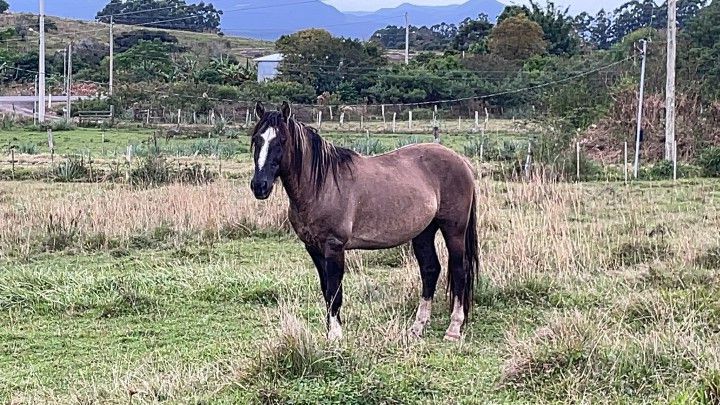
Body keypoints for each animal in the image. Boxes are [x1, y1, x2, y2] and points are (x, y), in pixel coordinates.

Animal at [250, 102, 480, 340]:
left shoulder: (334, 247)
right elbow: (326, 290)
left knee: (460, 270)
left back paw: (453, 329)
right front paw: (330, 332)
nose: (259, 186)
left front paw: (335, 335)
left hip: (454, 230)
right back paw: (417, 327)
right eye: (256, 139)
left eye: (282, 140)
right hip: (424, 232)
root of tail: (461, 161)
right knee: (430, 270)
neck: (321, 186)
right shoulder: (313, 248)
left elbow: (334, 290)